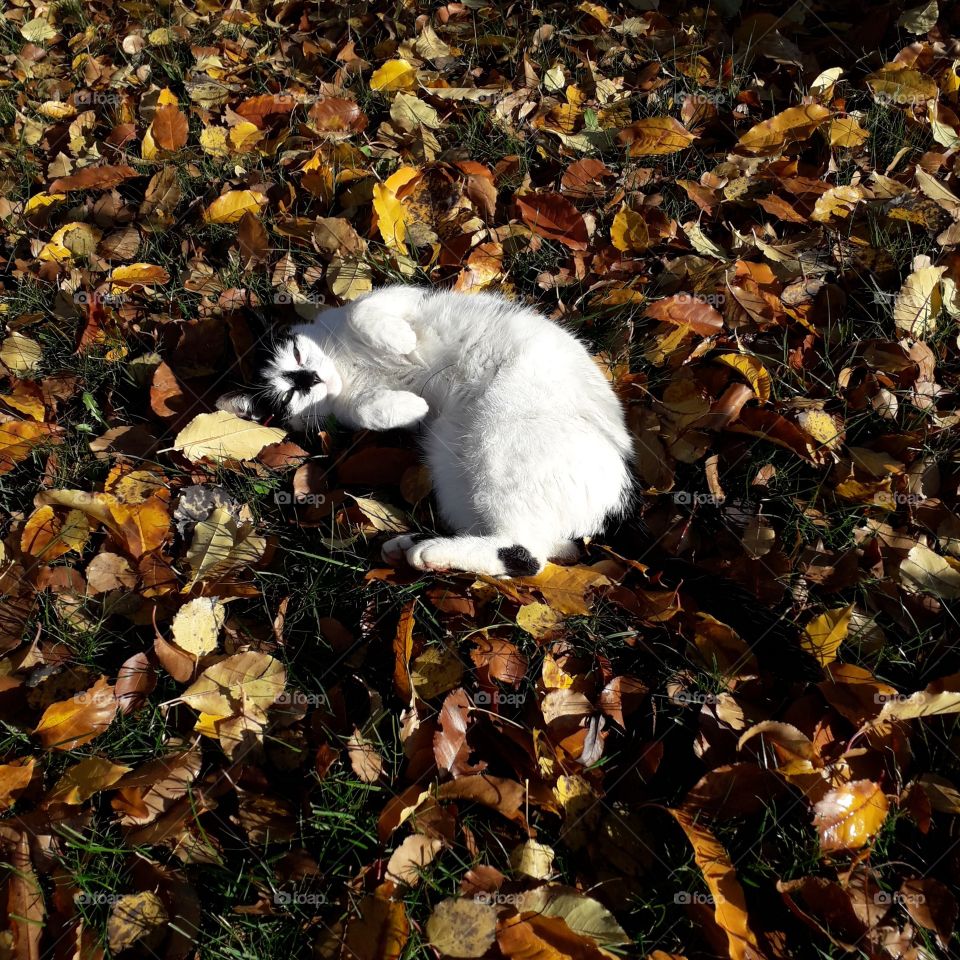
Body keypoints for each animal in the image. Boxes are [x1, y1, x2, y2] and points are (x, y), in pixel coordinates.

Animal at [239, 284, 632, 576]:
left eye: (297, 356)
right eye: (289, 395)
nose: (310, 378)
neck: (344, 367)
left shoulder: (400, 296)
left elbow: (360, 312)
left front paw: (402, 341)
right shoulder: (349, 408)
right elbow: (366, 409)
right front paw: (411, 407)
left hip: (500, 438)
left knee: (529, 554)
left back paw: (425, 551)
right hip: (456, 473)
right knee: (525, 550)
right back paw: (414, 549)